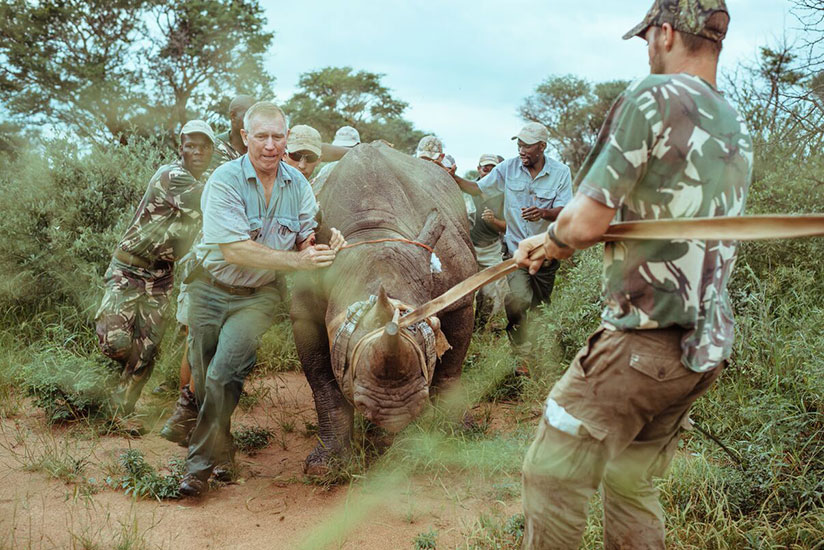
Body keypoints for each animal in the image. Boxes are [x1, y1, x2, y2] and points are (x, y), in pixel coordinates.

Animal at [290, 143, 477, 475]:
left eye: (423, 332)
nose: (395, 410)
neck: (370, 233)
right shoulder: (305, 312)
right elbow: (322, 383)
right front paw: (325, 467)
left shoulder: (461, 296)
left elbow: (450, 370)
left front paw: (453, 436)